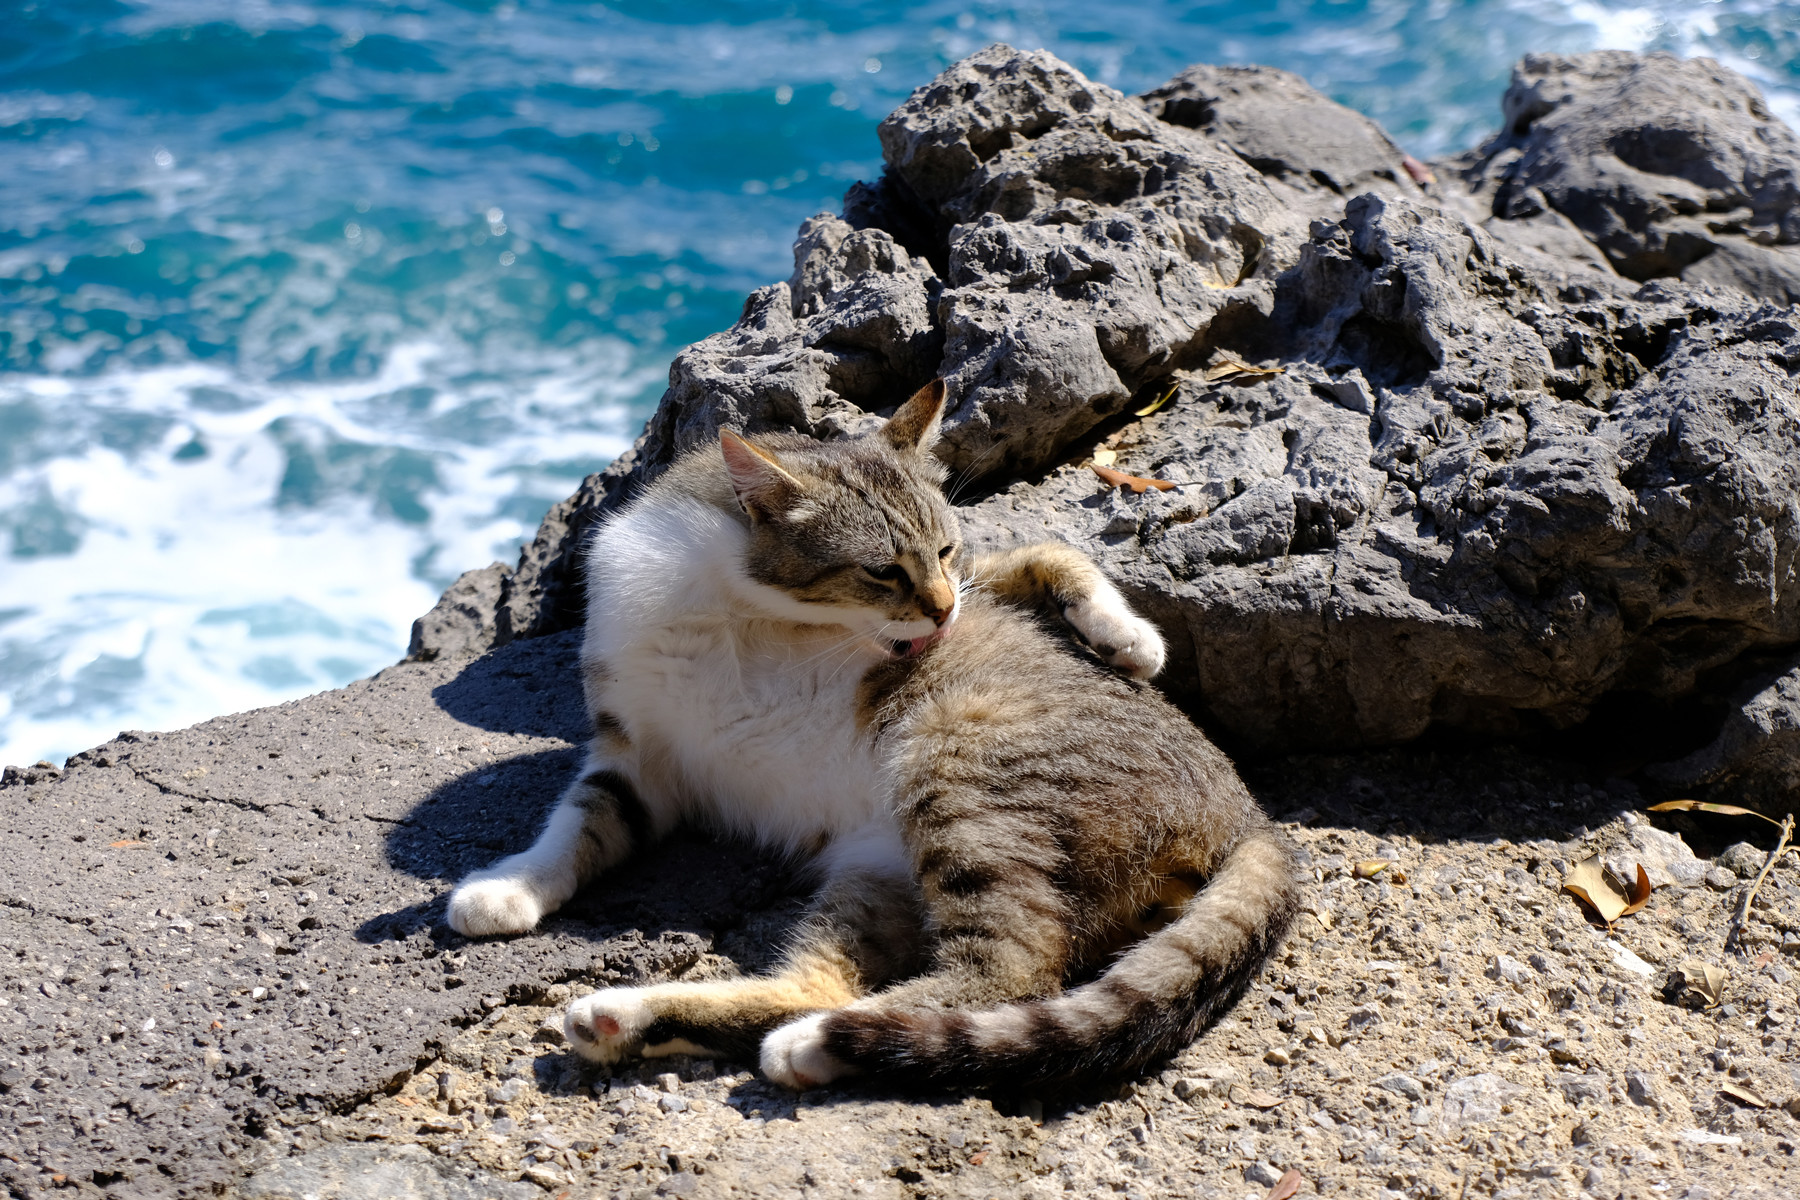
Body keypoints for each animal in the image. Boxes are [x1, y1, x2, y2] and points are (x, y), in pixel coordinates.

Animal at [444, 383, 1303, 1086]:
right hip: (875, 868)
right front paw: (511, 885)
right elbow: (578, 824)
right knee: (814, 981)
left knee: (1010, 974)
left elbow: (1047, 555)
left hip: (960, 768)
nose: (944, 612)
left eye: (945, 550)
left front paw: (1123, 632)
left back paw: (825, 1037)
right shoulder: (639, 754)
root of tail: (1253, 818)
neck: (735, 607)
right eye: (881, 571)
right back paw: (639, 1021)